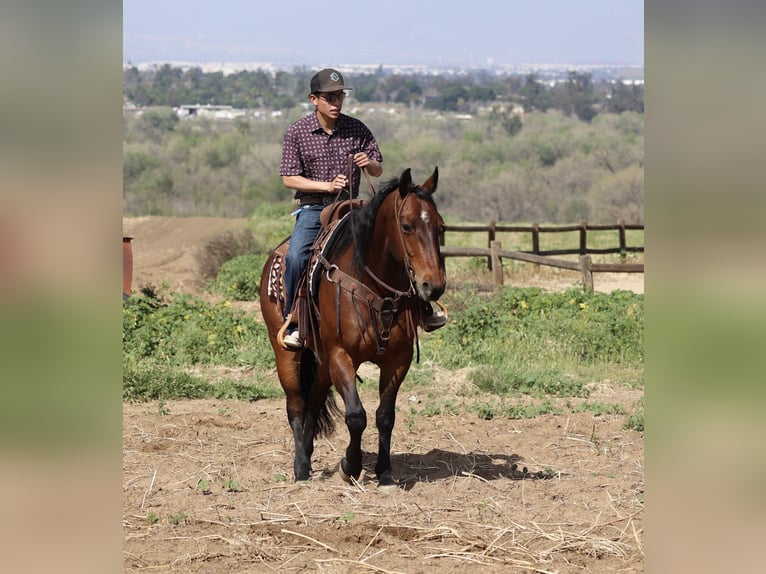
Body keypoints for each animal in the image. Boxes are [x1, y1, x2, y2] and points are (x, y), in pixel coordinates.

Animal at [259, 167, 446, 486]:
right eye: (406, 226)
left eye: (441, 227)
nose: (433, 286)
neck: (372, 284)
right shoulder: (341, 356)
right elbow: (356, 415)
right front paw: (350, 465)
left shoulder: (398, 360)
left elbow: (385, 415)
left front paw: (384, 472)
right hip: (285, 352)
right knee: (296, 405)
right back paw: (300, 468)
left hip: (321, 364)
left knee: (313, 400)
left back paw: (307, 452)